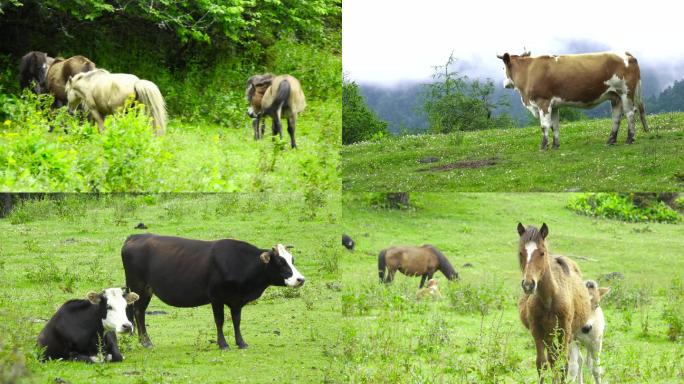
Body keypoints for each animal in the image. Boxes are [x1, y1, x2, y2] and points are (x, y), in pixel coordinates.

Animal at [121, 234, 306, 352]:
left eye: (292, 260)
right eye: (280, 262)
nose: (300, 279)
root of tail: (136, 236)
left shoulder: (236, 300)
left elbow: (236, 321)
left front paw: (241, 342)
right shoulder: (216, 297)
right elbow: (220, 321)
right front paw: (223, 344)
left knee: (139, 312)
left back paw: (142, 340)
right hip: (139, 287)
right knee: (138, 311)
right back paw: (146, 342)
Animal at [496, 50, 648, 148]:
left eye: (503, 68)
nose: (504, 83)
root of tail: (627, 54)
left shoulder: (543, 102)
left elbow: (544, 125)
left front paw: (543, 146)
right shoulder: (554, 105)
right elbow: (555, 125)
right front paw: (555, 145)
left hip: (626, 92)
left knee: (630, 113)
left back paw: (629, 139)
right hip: (615, 96)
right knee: (616, 117)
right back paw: (610, 140)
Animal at [516, 224, 592, 382]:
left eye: (542, 253)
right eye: (521, 252)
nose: (528, 285)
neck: (549, 299)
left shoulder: (565, 330)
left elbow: (563, 365)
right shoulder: (537, 330)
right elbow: (542, 364)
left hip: (567, 335)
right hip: (549, 335)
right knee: (552, 359)